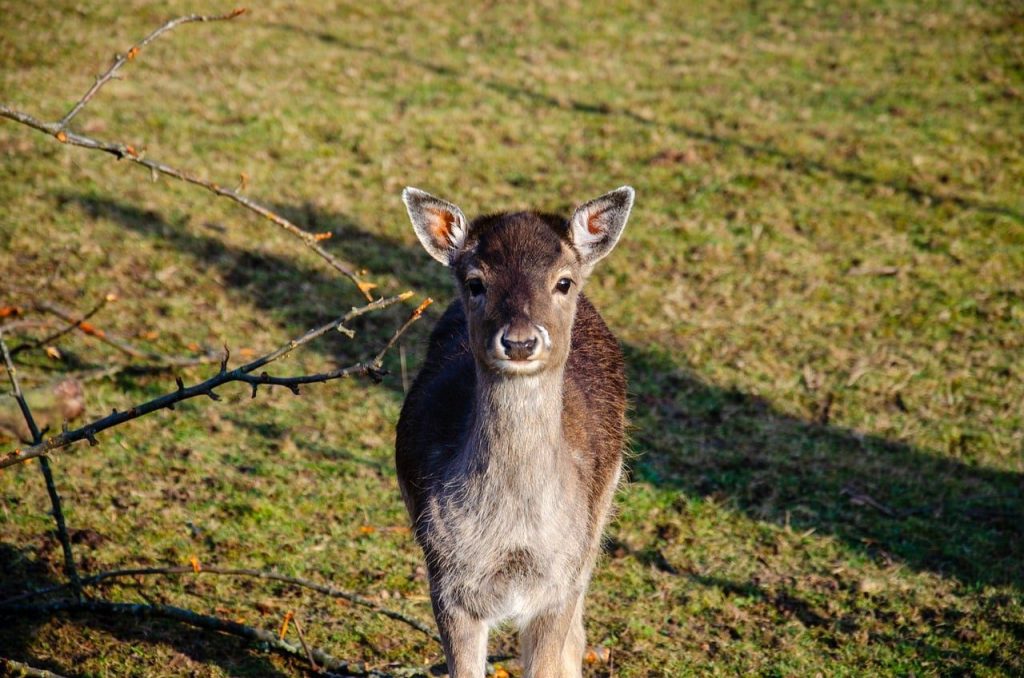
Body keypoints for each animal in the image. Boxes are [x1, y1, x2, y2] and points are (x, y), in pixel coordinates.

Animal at [395, 186, 633, 678]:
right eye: (475, 282)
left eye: (563, 282)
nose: (520, 342)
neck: (512, 537)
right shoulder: (447, 579)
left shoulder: (558, 582)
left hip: (596, 525)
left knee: (576, 640)